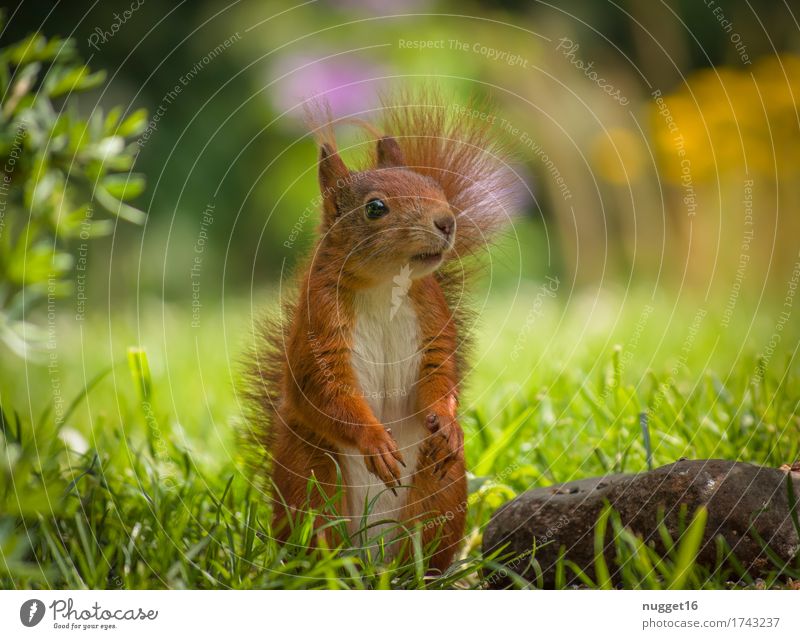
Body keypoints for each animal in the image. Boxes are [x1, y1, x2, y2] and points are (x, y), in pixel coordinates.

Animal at [244, 90, 520, 568]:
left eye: (436, 189)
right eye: (375, 208)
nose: (447, 221)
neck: (385, 284)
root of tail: (373, 564)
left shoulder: (433, 319)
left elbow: (440, 374)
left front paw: (448, 422)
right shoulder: (318, 327)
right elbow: (324, 389)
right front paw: (374, 441)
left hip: (440, 492)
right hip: (311, 478)